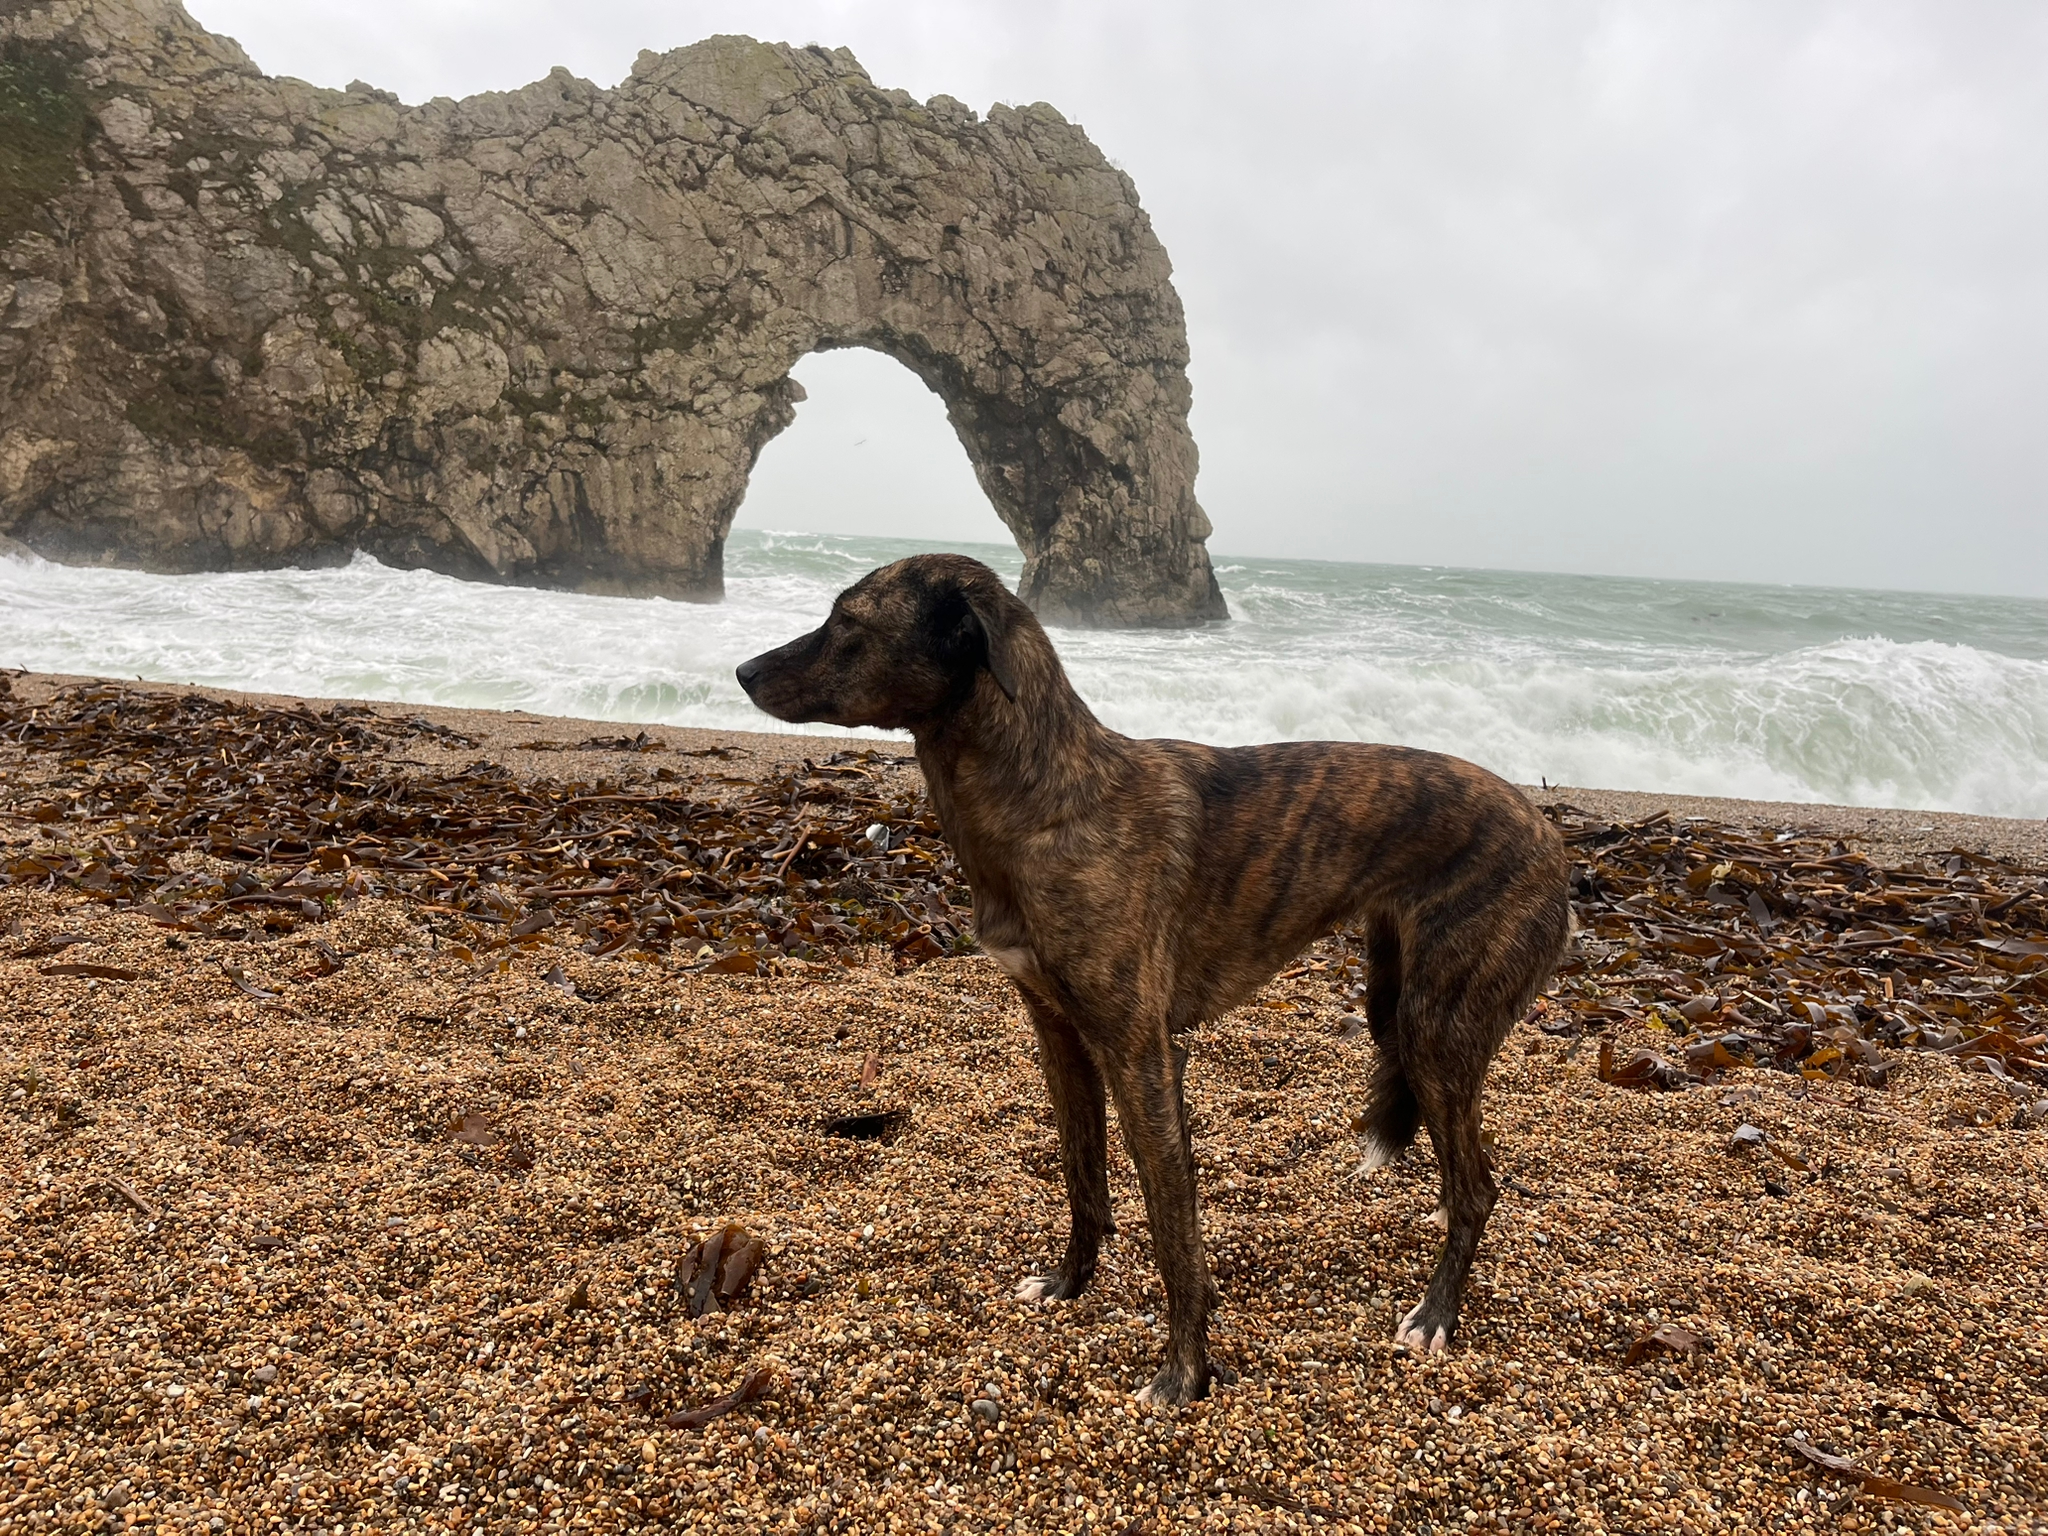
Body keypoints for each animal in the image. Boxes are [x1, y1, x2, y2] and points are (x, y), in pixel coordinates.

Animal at [737, 552, 1564, 1409]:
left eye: (848, 622)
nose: (742, 672)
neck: (1045, 799)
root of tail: (1551, 837)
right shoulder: (1060, 1037)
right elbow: (1083, 1177)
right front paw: (1069, 1284)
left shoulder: (1141, 1052)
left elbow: (1173, 1223)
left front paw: (1184, 1373)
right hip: (1389, 1004)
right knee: (1454, 1170)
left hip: (1436, 1031)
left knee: (1479, 1188)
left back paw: (1436, 1315)